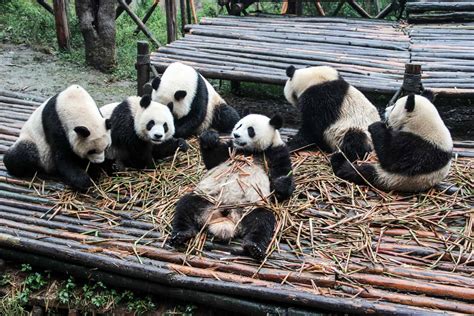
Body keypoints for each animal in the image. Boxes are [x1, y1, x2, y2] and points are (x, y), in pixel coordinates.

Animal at [170, 114, 294, 262]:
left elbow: (283, 175)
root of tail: (226, 217)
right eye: (239, 125)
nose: (235, 135)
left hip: (248, 208)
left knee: (262, 220)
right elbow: (213, 161)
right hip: (207, 200)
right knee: (186, 205)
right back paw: (181, 234)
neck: (249, 152)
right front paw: (209, 137)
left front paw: (280, 184)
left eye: (250, 130)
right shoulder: (230, 150)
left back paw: (254, 247)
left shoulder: (276, 151)